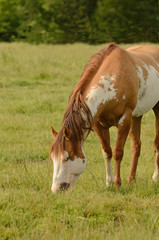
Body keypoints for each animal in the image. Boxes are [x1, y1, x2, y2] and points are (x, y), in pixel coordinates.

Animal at [49, 42, 159, 193]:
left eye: (67, 157)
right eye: (53, 158)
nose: (55, 190)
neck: (112, 81)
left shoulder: (125, 119)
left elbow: (118, 152)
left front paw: (117, 183)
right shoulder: (98, 124)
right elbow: (107, 152)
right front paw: (109, 183)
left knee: (155, 144)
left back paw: (155, 178)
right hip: (137, 115)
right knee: (136, 146)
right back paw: (131, 181)